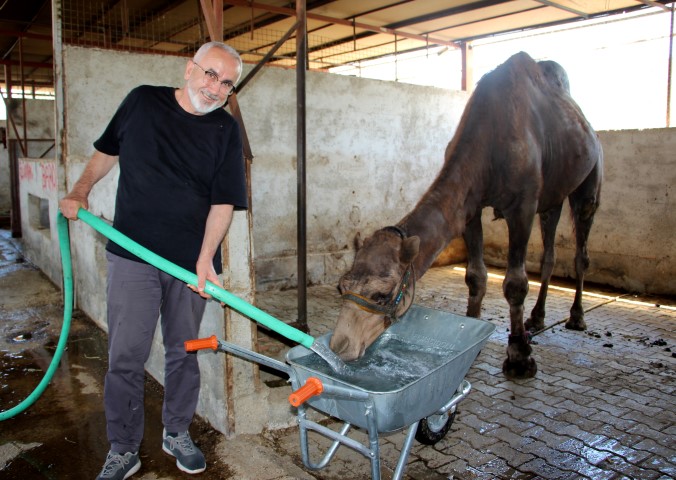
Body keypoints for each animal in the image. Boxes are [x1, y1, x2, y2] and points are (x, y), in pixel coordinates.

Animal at [332, 51, 604, 378]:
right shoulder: (470, 208)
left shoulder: (523, 206)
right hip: (552, 196)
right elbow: (475, 276)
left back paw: (576, 317)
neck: (490, 142)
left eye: (381, 295)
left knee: (582, 248)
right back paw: (537, 318)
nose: (340, 346)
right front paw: (471, 337)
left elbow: (515, 283)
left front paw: (520, 356)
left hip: (590, 178)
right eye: (341, 286)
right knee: (549, 250)